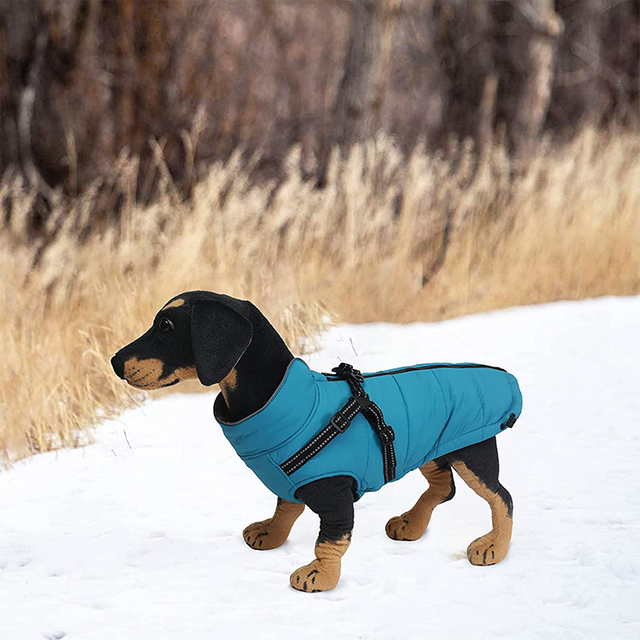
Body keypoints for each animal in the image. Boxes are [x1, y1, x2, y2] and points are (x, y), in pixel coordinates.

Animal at [111, 292, 520, 592]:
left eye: (166, 326)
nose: (114, 362)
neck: (281, 399)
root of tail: (505, 377)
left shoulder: (335, 493)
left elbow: (330, 540)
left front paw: (320, 575)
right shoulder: (292, 480)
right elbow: (285, 509)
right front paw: (270, 533)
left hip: (472, 452)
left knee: (501, 497)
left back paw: (495, 546)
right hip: (430, 447)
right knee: (444, 488)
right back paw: (411, 523)